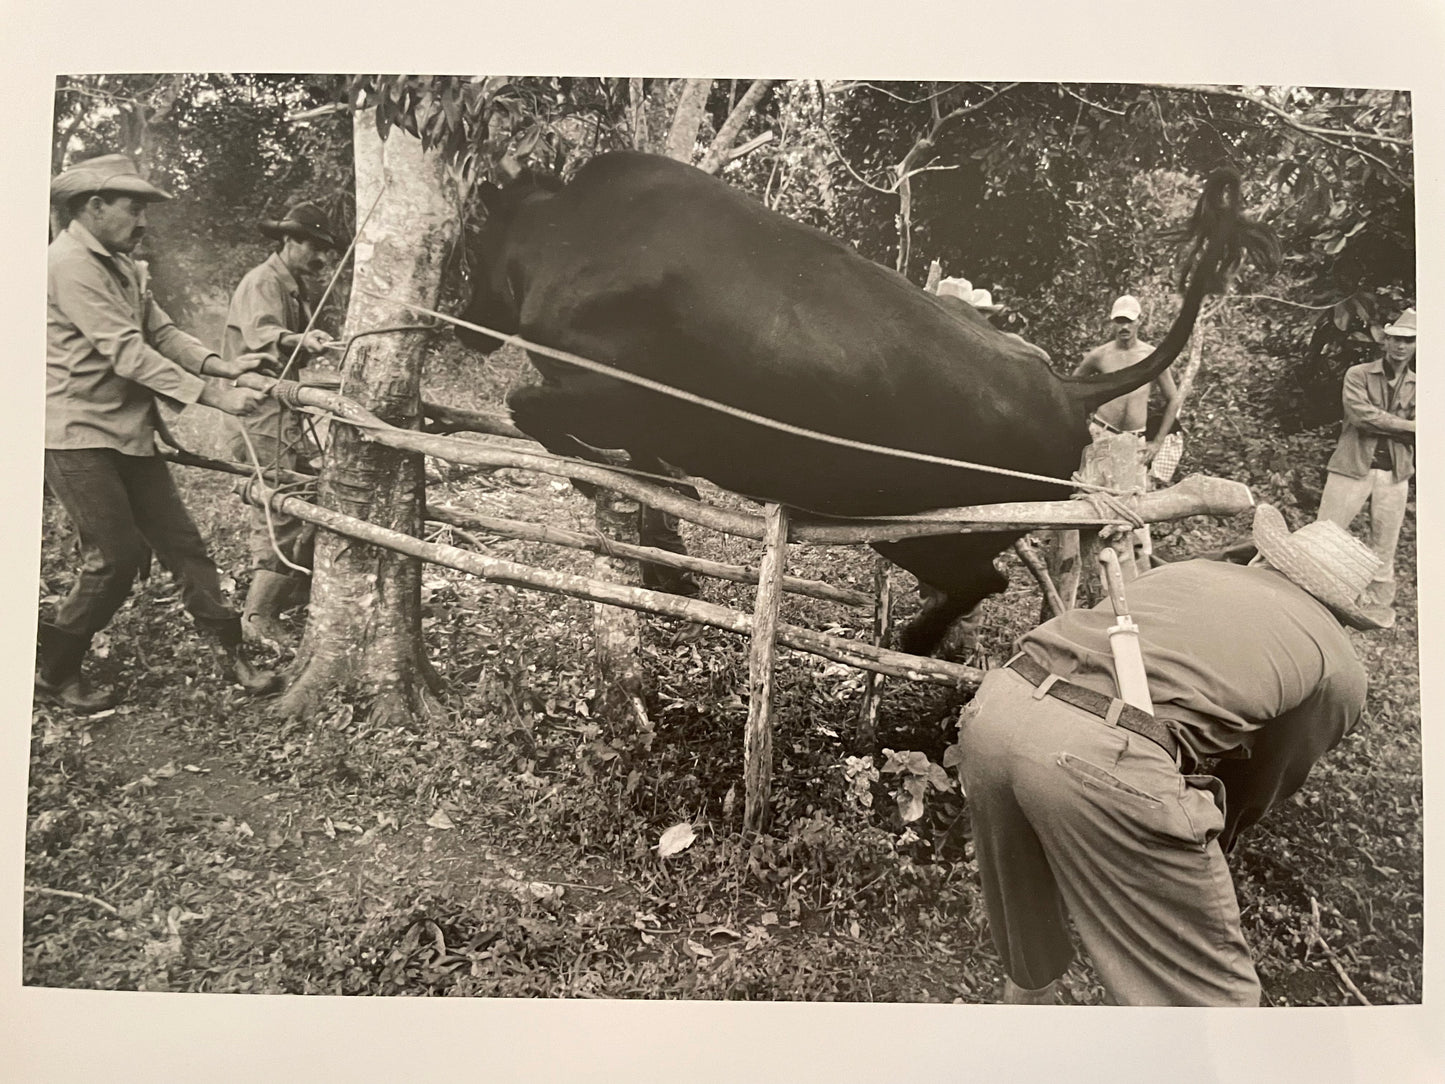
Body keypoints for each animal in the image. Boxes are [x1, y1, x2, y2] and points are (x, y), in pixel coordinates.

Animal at [456, 151, 1271, 653]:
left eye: (473, 242)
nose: (463, 320)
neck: (570, 235)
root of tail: (1069, 388)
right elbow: (651, 480)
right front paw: (672, 561)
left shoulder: (607, 392)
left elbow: (536, 414)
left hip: (926, 536)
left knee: (987, 580)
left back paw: (915, 640)